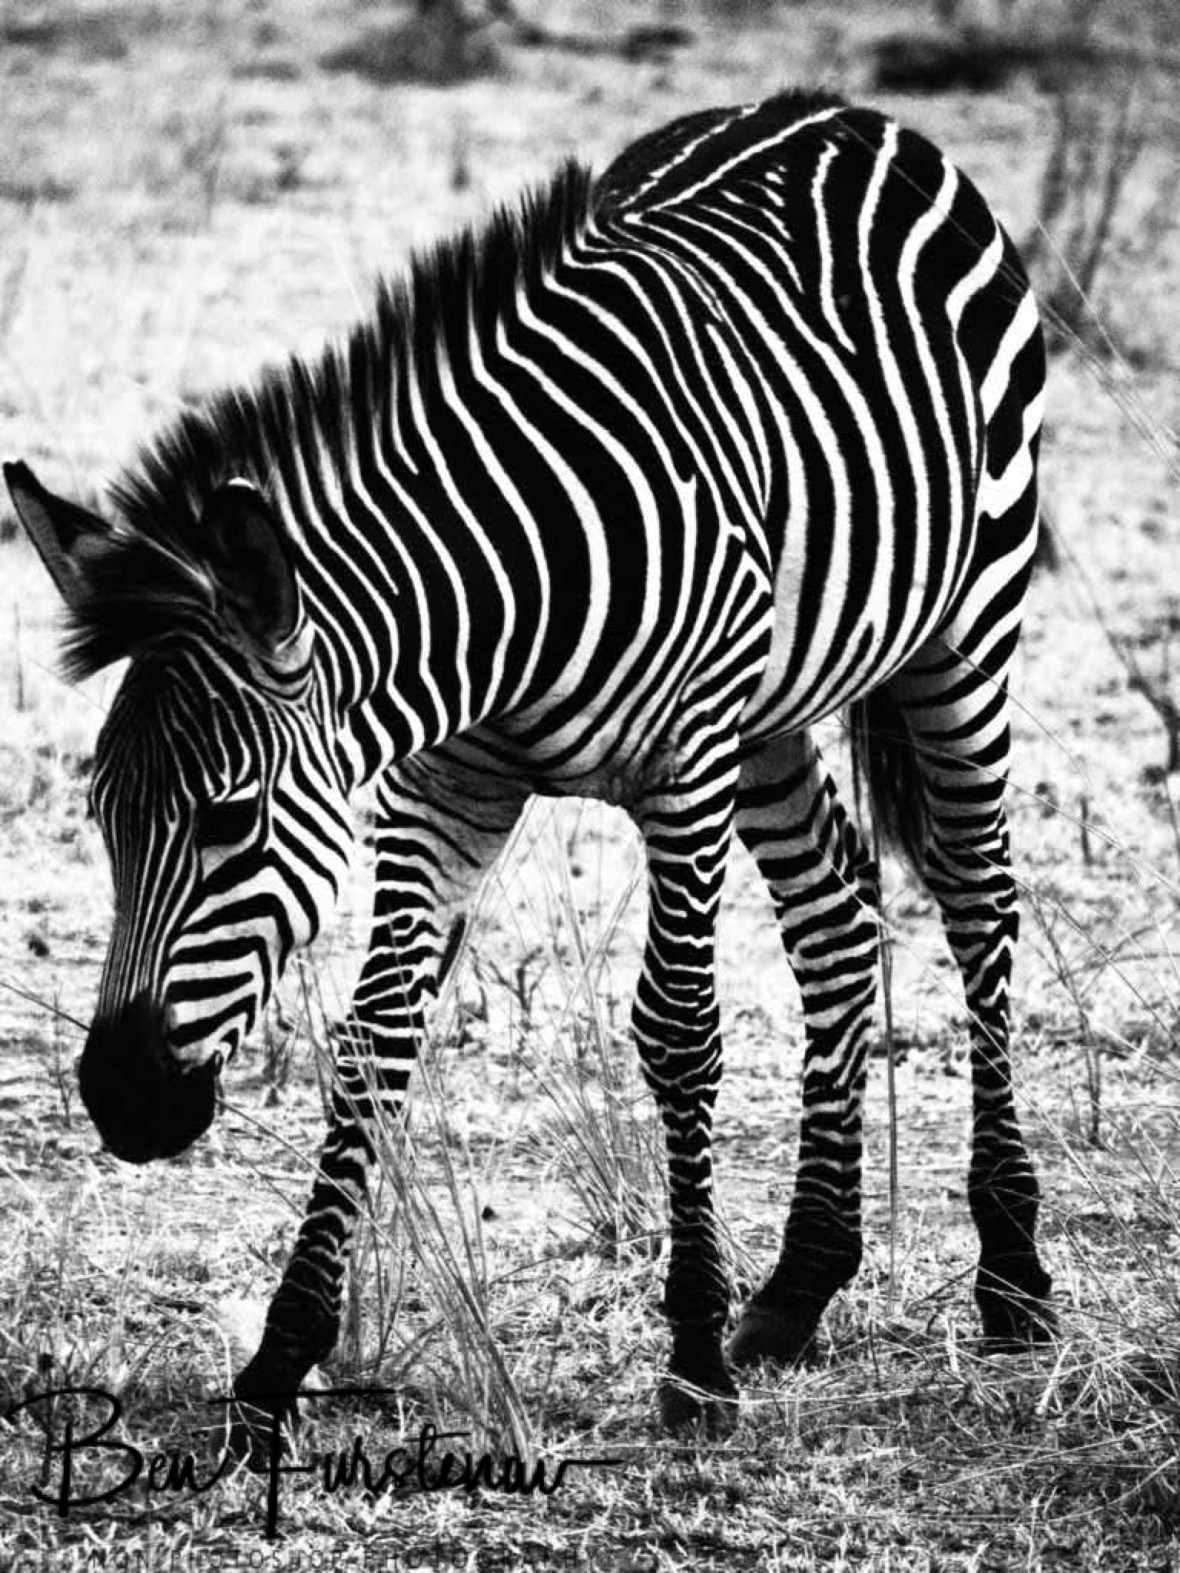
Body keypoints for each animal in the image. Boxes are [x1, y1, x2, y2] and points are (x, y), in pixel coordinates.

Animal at [6, 87, 1053, 1437]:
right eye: (99, 819)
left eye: (230, 820)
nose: (123, 1104)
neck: (496, 611)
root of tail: (840, 109)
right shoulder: (445, 790)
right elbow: (371, 1045)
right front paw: (279, 1362)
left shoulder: (682, 768)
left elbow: (678, 1031)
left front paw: (692, 1358)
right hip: (774, 698)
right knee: (837, 908)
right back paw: (800, 1285)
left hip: (962, 629)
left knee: (978, 904)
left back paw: (1013, 1279)